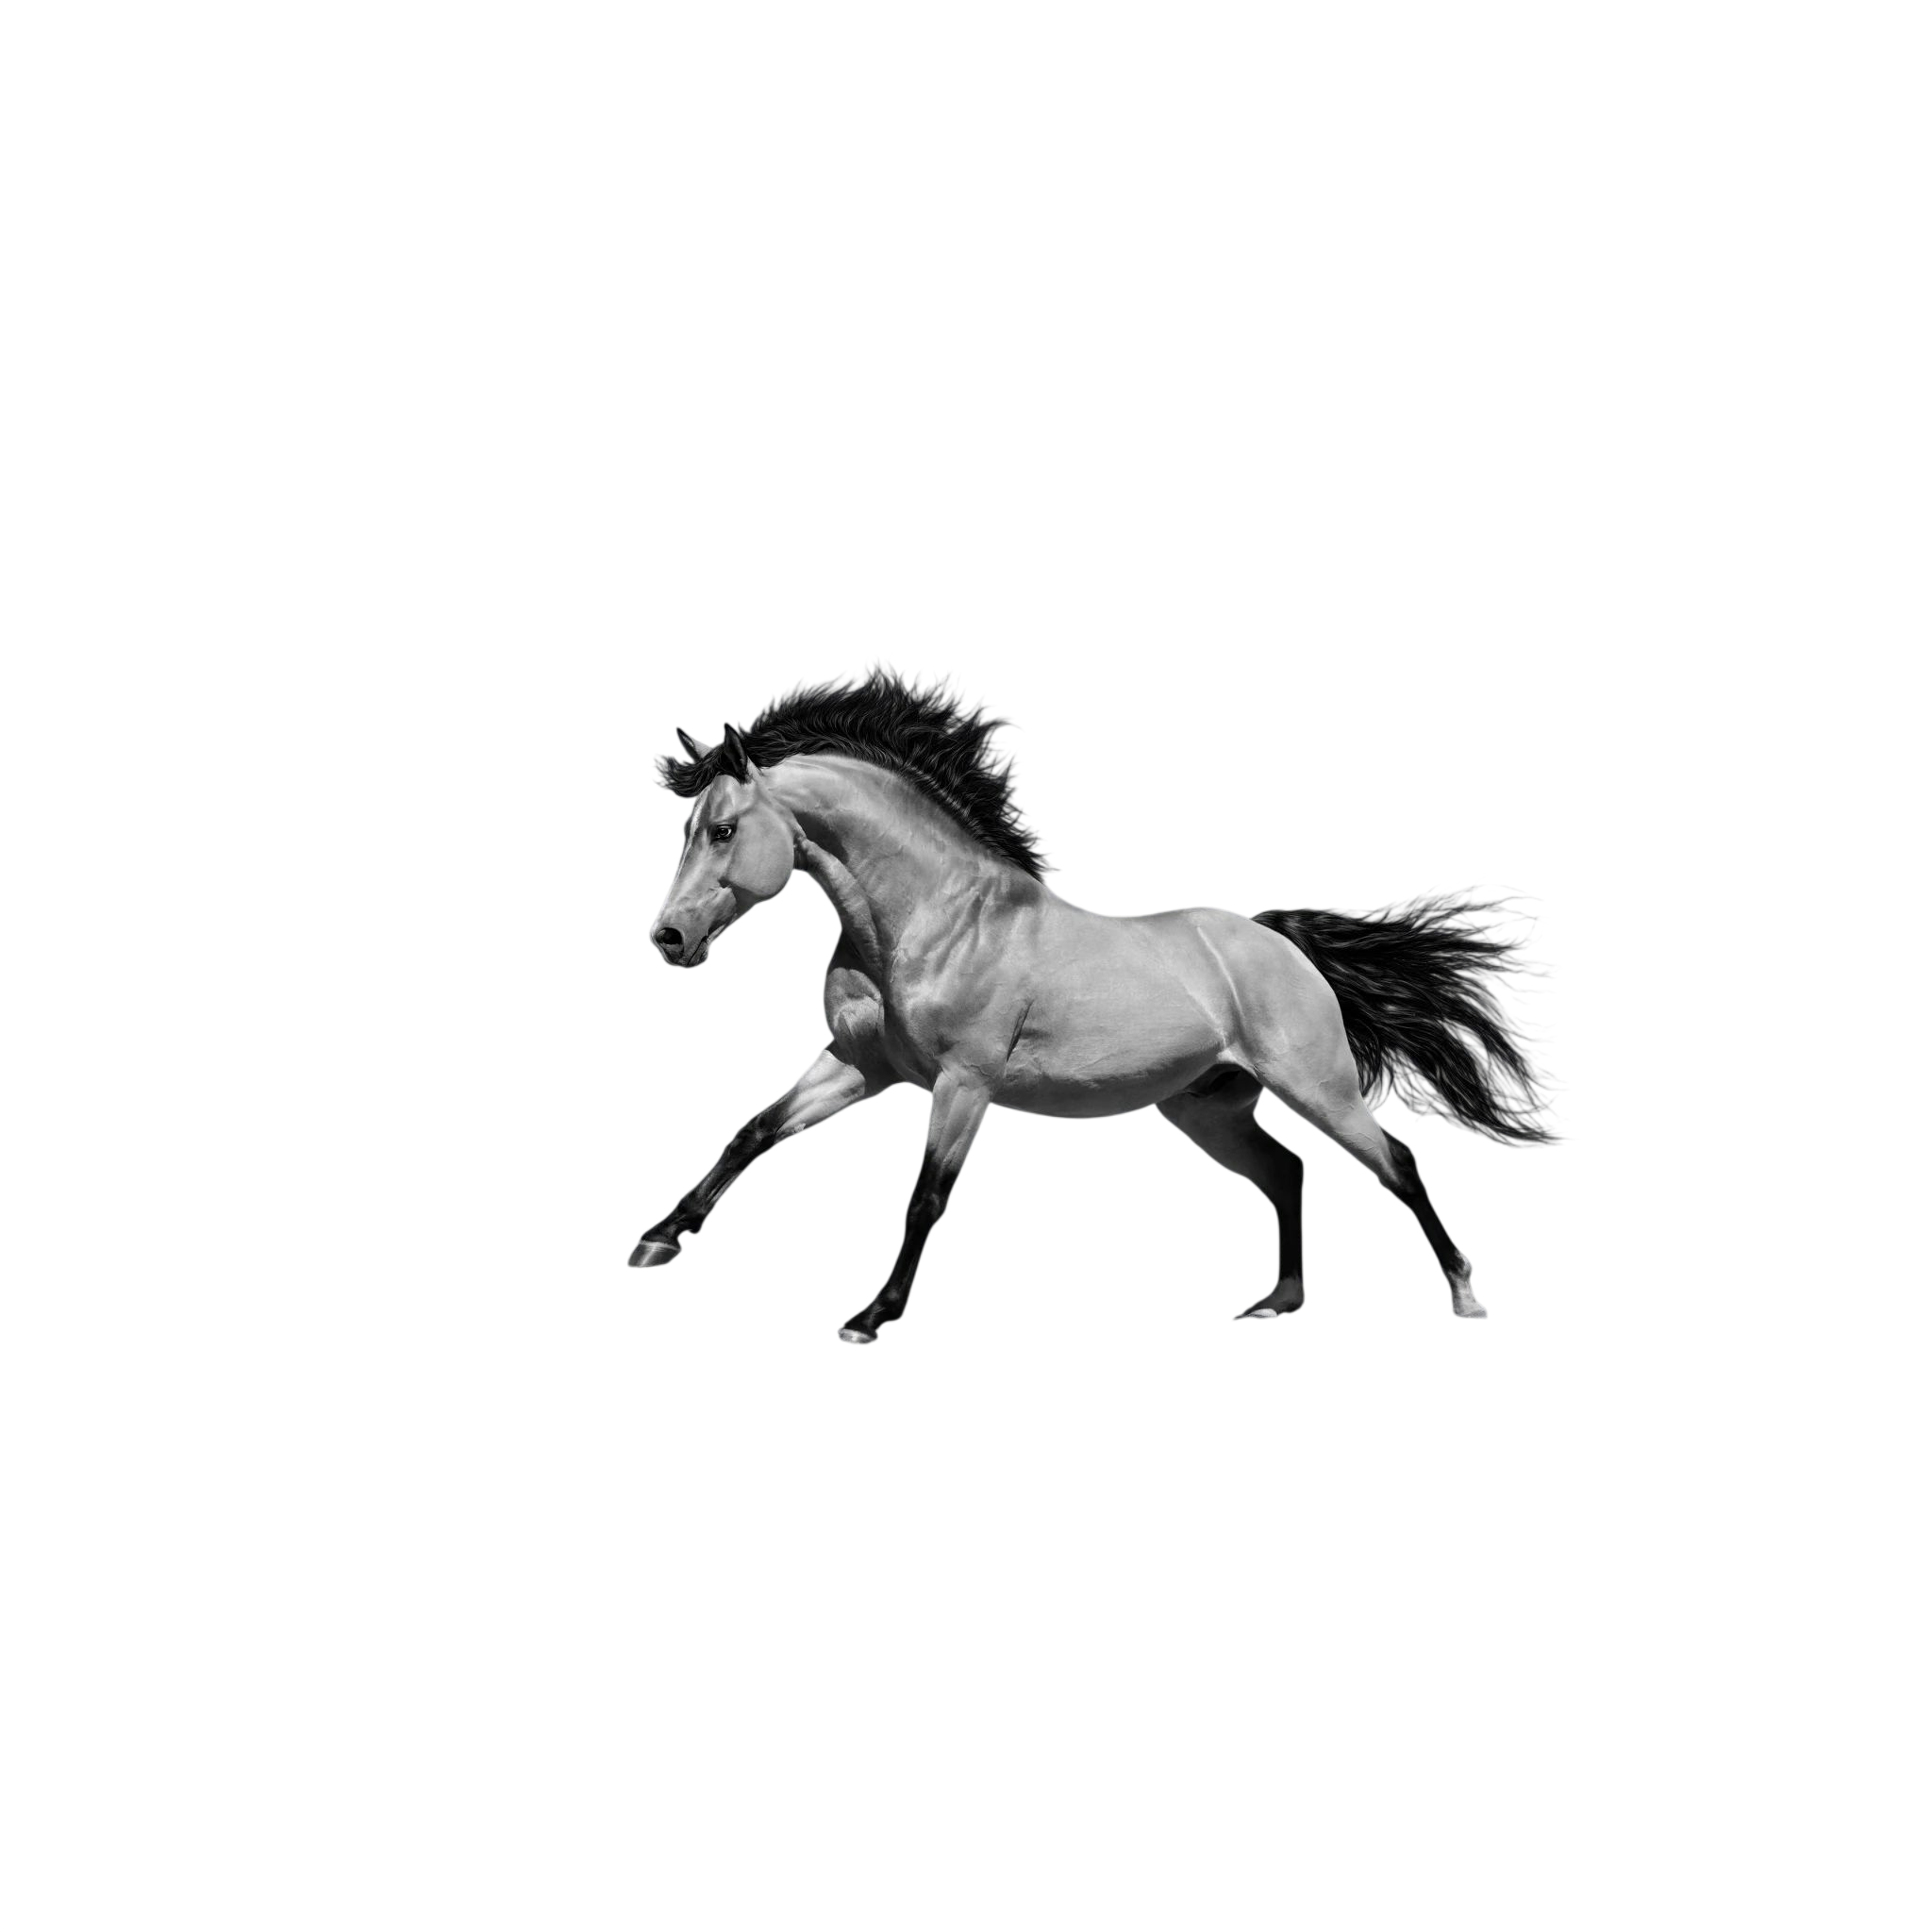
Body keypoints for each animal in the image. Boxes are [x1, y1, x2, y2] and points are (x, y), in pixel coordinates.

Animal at [628, 679, 1525, 1346]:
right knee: (1288, 1172)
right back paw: (1277, 1305)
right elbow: (755, 1131)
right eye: (694, 830)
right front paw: (659, 1241)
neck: (930, 920)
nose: (669, 936)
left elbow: (927, 1192)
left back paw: (1468, 1301)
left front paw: (869, 1320)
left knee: (1395, 1164)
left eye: (724, 829)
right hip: (1208, 1111)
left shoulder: (963, 1085)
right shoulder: (862, 1070)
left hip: (1321, 1088)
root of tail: (1276, 941)